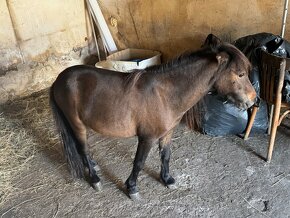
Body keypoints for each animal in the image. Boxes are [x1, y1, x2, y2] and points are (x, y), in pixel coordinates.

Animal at [49, 35, 256, 200]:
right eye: (240, 74)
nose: (254, 100)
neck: (165, 94)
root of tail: (59, 79)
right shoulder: (147, 138)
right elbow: (139, 163)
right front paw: (132, 188)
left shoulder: (167, 133)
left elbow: (165, 156)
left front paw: (167, 180)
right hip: (76, 123)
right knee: (82, 148)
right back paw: (94, 179)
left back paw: (93, 165)